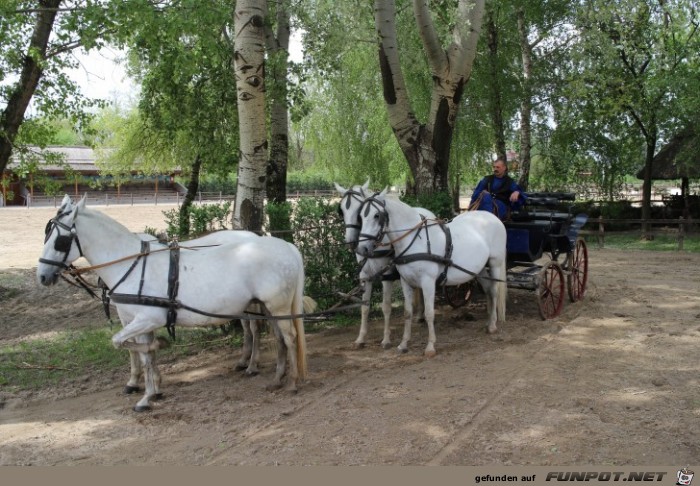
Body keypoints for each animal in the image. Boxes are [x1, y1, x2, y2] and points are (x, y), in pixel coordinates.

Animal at [37, 196, 306, 412]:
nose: (42, 276)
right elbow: (143, 354)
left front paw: (152, 372)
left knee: (288, 337)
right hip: (267, 307)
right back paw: (275, 377)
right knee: (277, 338)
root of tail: (287, 246)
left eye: (60, 241)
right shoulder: (139, 322)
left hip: (277, 306)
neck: (131, 264)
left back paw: (291, 381)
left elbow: (121, 343)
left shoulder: (146, 319)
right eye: (47, 235)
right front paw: (150, 392)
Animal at [332, 182, 432, 350]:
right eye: (342, 210)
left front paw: (386, 339)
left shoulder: (387, 275)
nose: (351, 242)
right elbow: (365, 307)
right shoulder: (365, 276)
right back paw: (419, 315)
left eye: (359, 210)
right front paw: (361, 338)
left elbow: (386, 306)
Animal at [358, 190, 506, 356]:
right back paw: (489, 321)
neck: (415, 240)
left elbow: (429, 313)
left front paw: (430, 346)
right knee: (488, 290)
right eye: (361, 216)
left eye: (377, 215)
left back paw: (492, 325)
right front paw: (403, 344)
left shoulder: (428, 282)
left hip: (495, 264)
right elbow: (407, 312)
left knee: (494, 291)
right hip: (478, 269)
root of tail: (493, 217)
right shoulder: (405, 282)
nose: (362, 249)